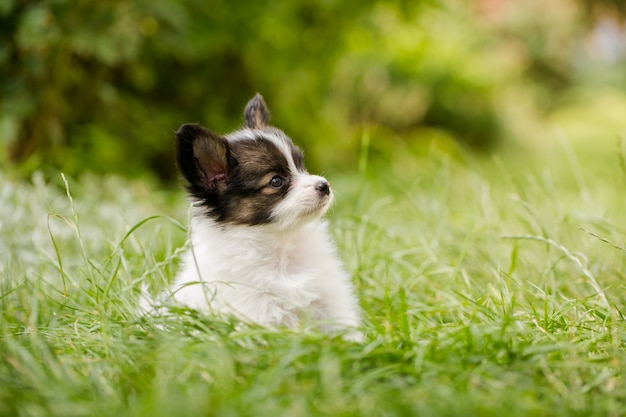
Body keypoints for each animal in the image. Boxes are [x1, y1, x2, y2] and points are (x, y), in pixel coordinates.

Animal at [168, 93, 360, 338]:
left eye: (301, 166)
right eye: (276, 181)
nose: (324, 185)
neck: (281, 246)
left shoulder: (330, 301)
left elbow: (346, 332)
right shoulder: (258, 313)